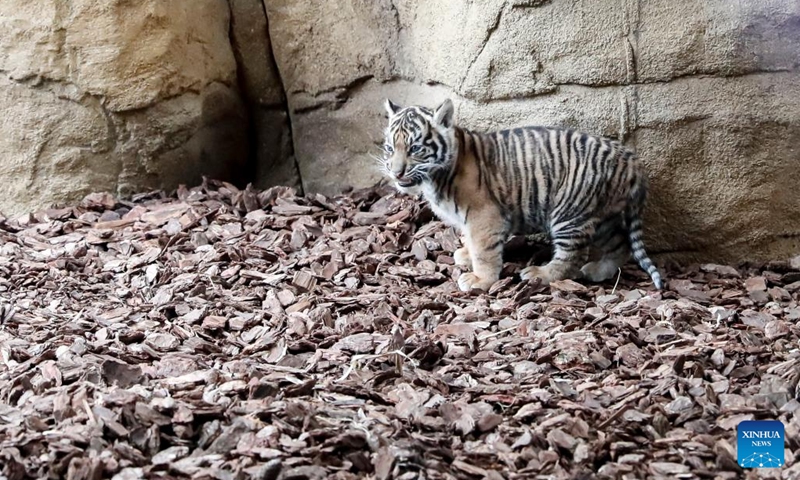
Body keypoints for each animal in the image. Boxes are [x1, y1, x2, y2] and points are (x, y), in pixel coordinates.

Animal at [377, 97, 664, 293]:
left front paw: (480, 280)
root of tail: (630, 160)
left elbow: (484, 251)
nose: (396, 172)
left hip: (569, 212)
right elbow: (469, 240)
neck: (434, 177)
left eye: (415, 148)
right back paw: (597, 271)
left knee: (572, 256)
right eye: (390, 148)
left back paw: (540, 274)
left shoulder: (484, 216)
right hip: (603, 214)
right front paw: (465, 255)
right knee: (620, 245)